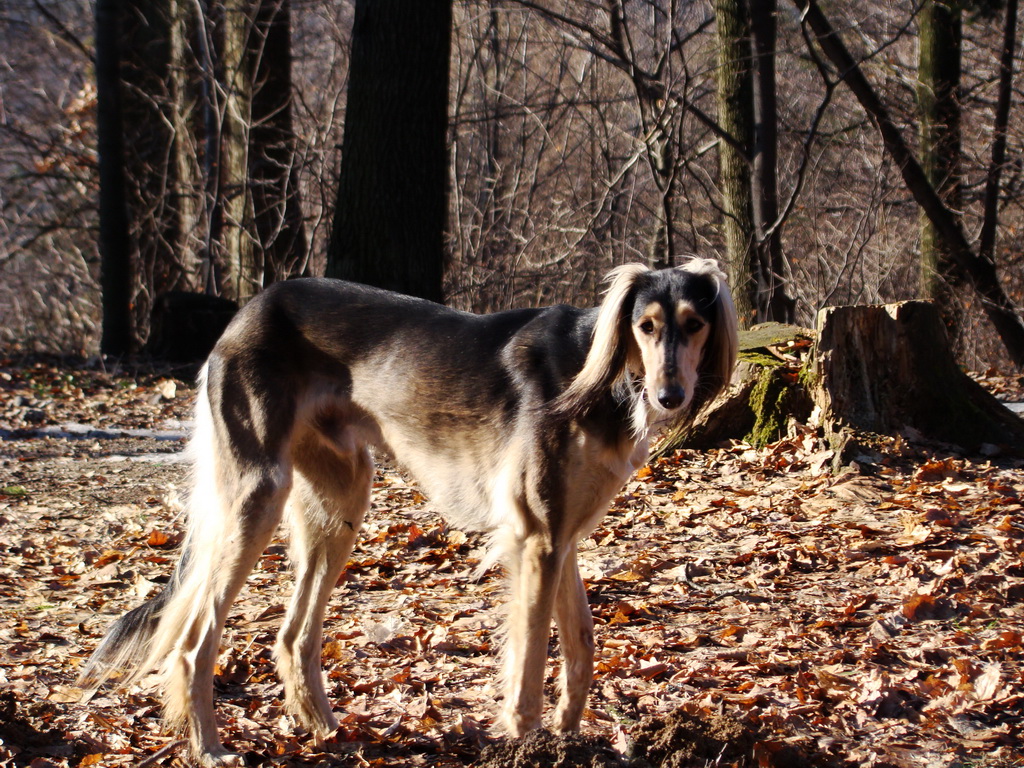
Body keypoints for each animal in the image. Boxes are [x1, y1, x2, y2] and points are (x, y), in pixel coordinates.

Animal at [79, 262, 737, 765]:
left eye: (694, 324)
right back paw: (210, 749)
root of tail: (246, 311)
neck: (594, 372)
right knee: (196, 640)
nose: (670, 397)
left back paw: (324, 729)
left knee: (292, 635)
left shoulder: (563, 534)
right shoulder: (536, 535)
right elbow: (529, 660)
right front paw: (530, 743)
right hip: (256, 496)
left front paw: (570, 739)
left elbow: (580, 644)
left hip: (342, 500)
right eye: (645, 326)